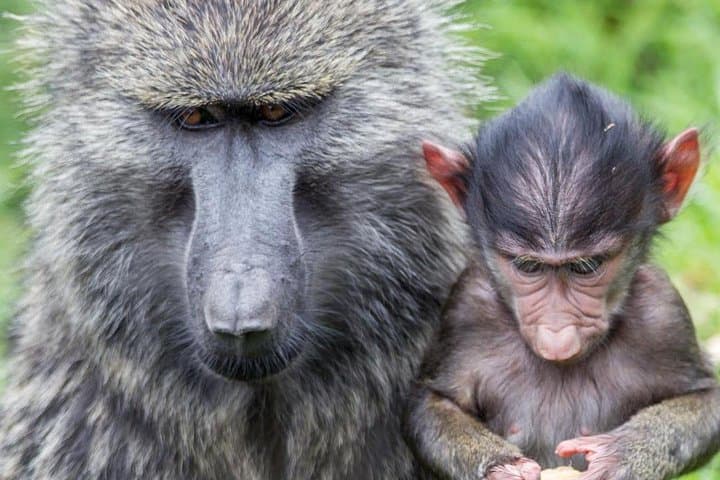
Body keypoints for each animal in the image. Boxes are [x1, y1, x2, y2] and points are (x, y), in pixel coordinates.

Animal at [406, 73, 720, 480]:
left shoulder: (664, 311)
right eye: (528, 266)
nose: (557, 335)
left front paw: (623, 454)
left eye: (586, 267)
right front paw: (500, 466)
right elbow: (430, 402)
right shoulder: (465, 307)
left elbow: (705, 399)